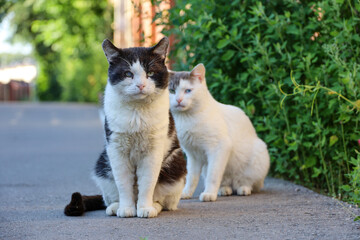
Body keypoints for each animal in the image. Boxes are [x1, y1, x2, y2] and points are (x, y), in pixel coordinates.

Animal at [64, 37, 187, 218]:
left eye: (150, 73)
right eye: (128, 74)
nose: (141, 85)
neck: (137, 113)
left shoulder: (153, 151)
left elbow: (147, 183)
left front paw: (144, 208)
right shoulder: (116, 149)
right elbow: (123, 183)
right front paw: (126, 209)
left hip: (175, 165)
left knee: (164, 201)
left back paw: (152, 207)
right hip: (103, 165)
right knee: (109, 197)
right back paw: (116, 207)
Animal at [169, 63, 270, 201]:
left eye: (188, 91)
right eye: (172, 91)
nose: (178, 100)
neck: (186, 119)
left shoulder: (219, 148)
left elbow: (213, 175)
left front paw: (209, 194)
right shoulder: (193, 155)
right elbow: (191, 178)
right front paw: (186, 193)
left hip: (258, 155)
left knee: (247, 181)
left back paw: (243, 189)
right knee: (226, 183)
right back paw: (224, 190)